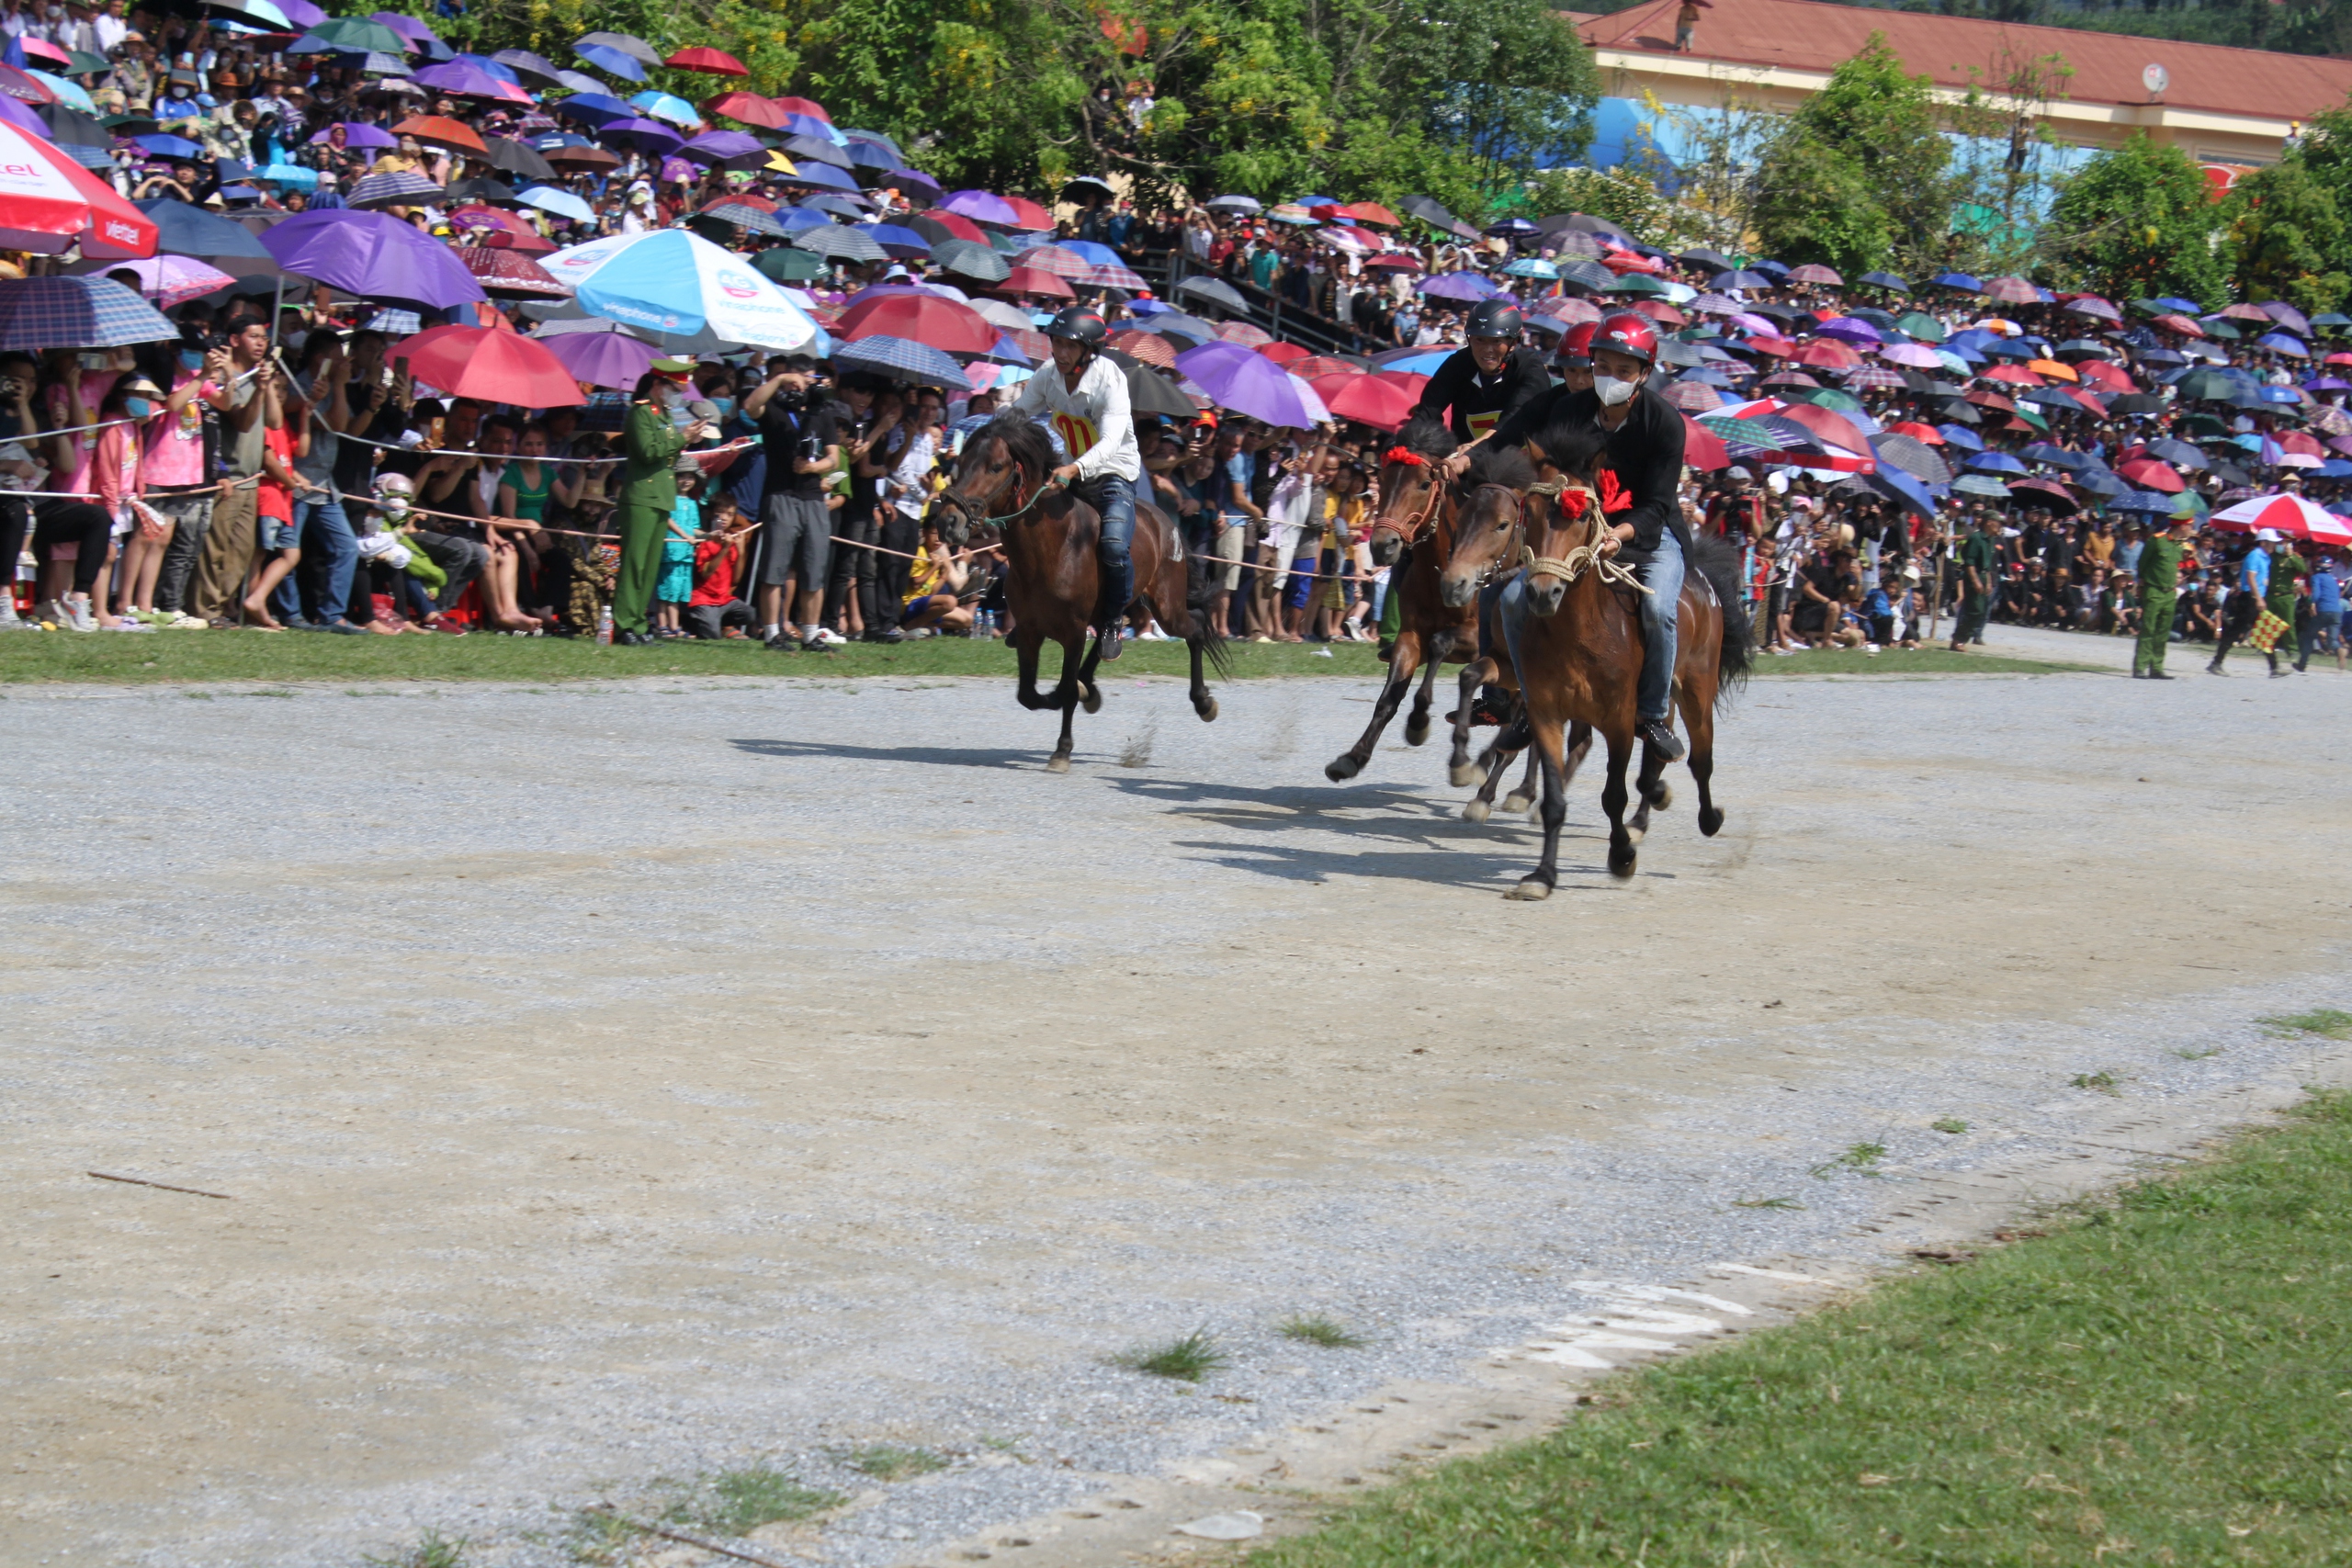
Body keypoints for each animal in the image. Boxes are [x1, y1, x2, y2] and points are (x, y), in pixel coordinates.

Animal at [935, 415, 1232, 771]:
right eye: (961, 462)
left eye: (995, 466)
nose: (949, 522)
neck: (1052, 548)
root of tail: (1167, 524)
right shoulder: (1030, 631)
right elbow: (1029, 694)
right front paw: (1070, 698)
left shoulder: (1073, 632)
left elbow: (1065, 690)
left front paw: (1062, 750)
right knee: (1108, 636)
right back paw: (1091, 687)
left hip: (1167, 607)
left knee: (1196, 627)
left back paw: (1204, 702)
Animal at [1326, 411, 1467, 784]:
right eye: (1383, 481)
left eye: (1424, 484)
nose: (1382, 544)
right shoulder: (1410, 635)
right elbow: (1389, 696)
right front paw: (1353, 757)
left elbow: (1440, 645)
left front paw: (1418, 723)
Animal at [1458, 415, 1758, 902]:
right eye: (1529, 514)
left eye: (1582, 516)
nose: (1543, 592)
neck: (1579, 632)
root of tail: (1705, 581)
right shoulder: (1545, 711)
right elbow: (1554, 798)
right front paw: (1542, 876)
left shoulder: (1617, 720)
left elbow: (1612, 795)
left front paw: (1621, 857)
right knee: (1653, 756)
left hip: (1695, 691)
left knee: (1698, 758)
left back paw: (1702, 817)